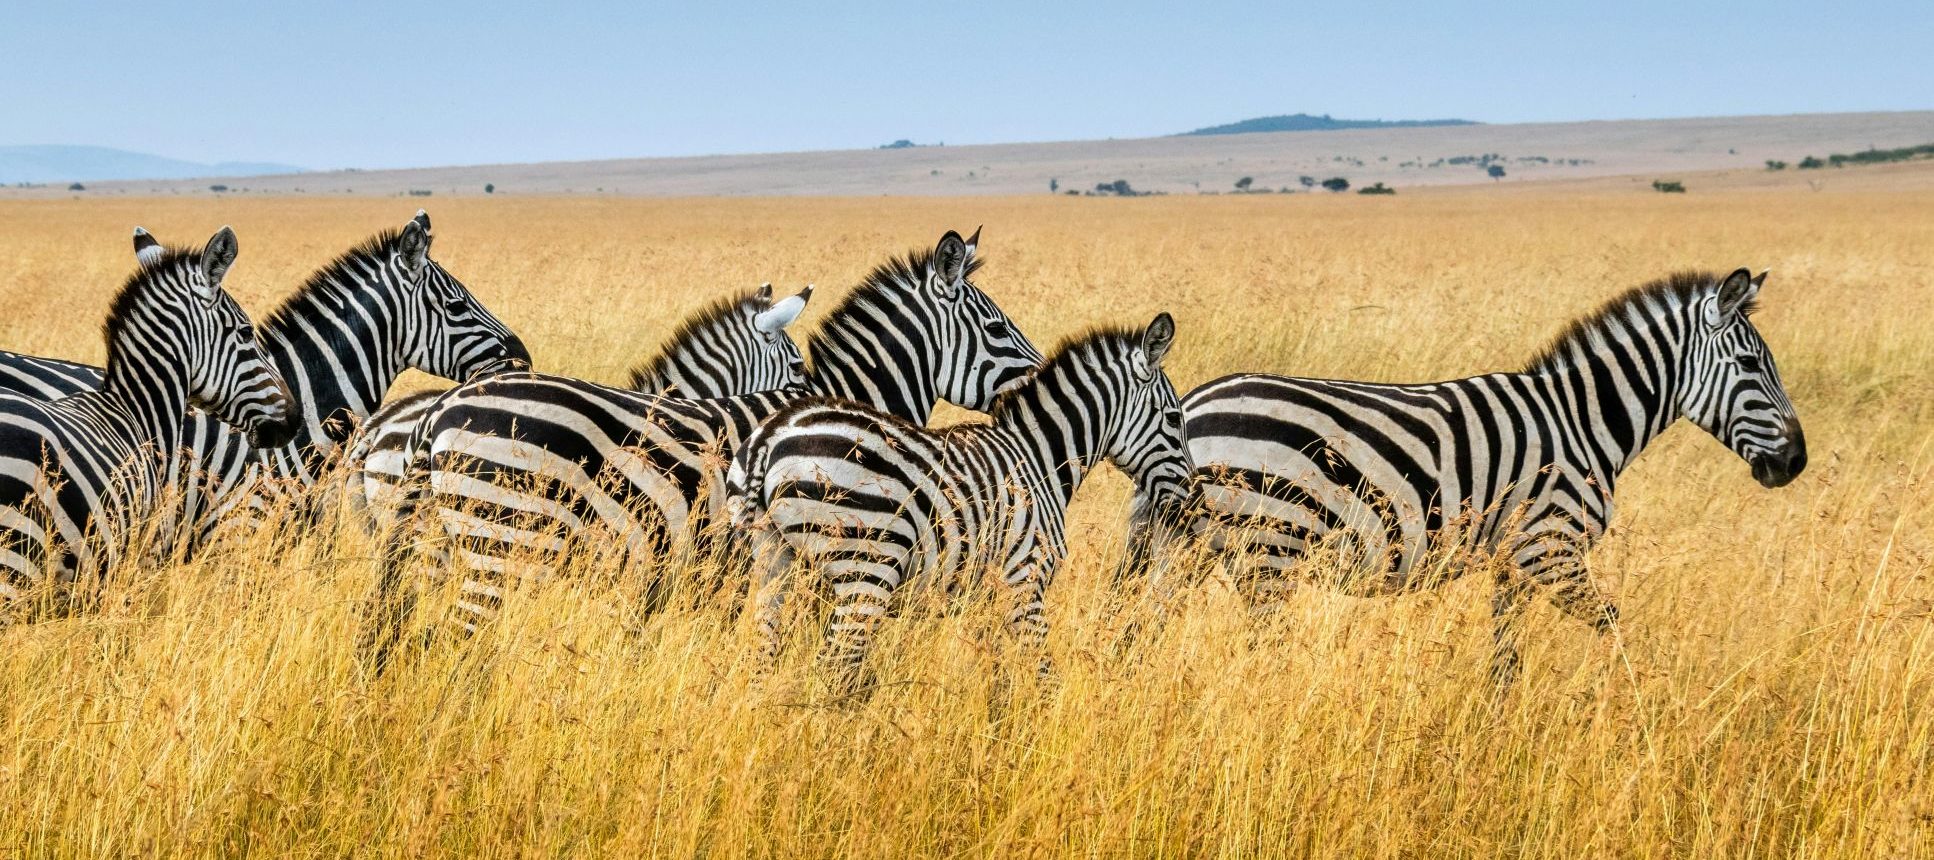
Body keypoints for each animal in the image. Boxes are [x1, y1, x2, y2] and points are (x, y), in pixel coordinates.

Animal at [731, 314, 1189, 695]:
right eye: (1173, 418)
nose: (1189, 498)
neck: (1039, 458)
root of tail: (771, 435)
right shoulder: (1025, 580)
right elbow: (1042, 673)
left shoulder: (987, 595)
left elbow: (998, 674)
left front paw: (994, 728)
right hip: (866, 567)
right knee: (834, 666)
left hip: (773, 560)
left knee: (763, 660)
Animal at [1172, 268, 1807, 686]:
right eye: (1751, 365)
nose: (1796, 462)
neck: (1582, 420)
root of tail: (1192, 404)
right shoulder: (1549, 549)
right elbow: (1613, 625)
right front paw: (1634, 706)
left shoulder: (1512, 563)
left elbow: (1506, 657)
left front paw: (1495, 728)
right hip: (1268, 550)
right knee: (1262, 651)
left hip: (1194, 550)